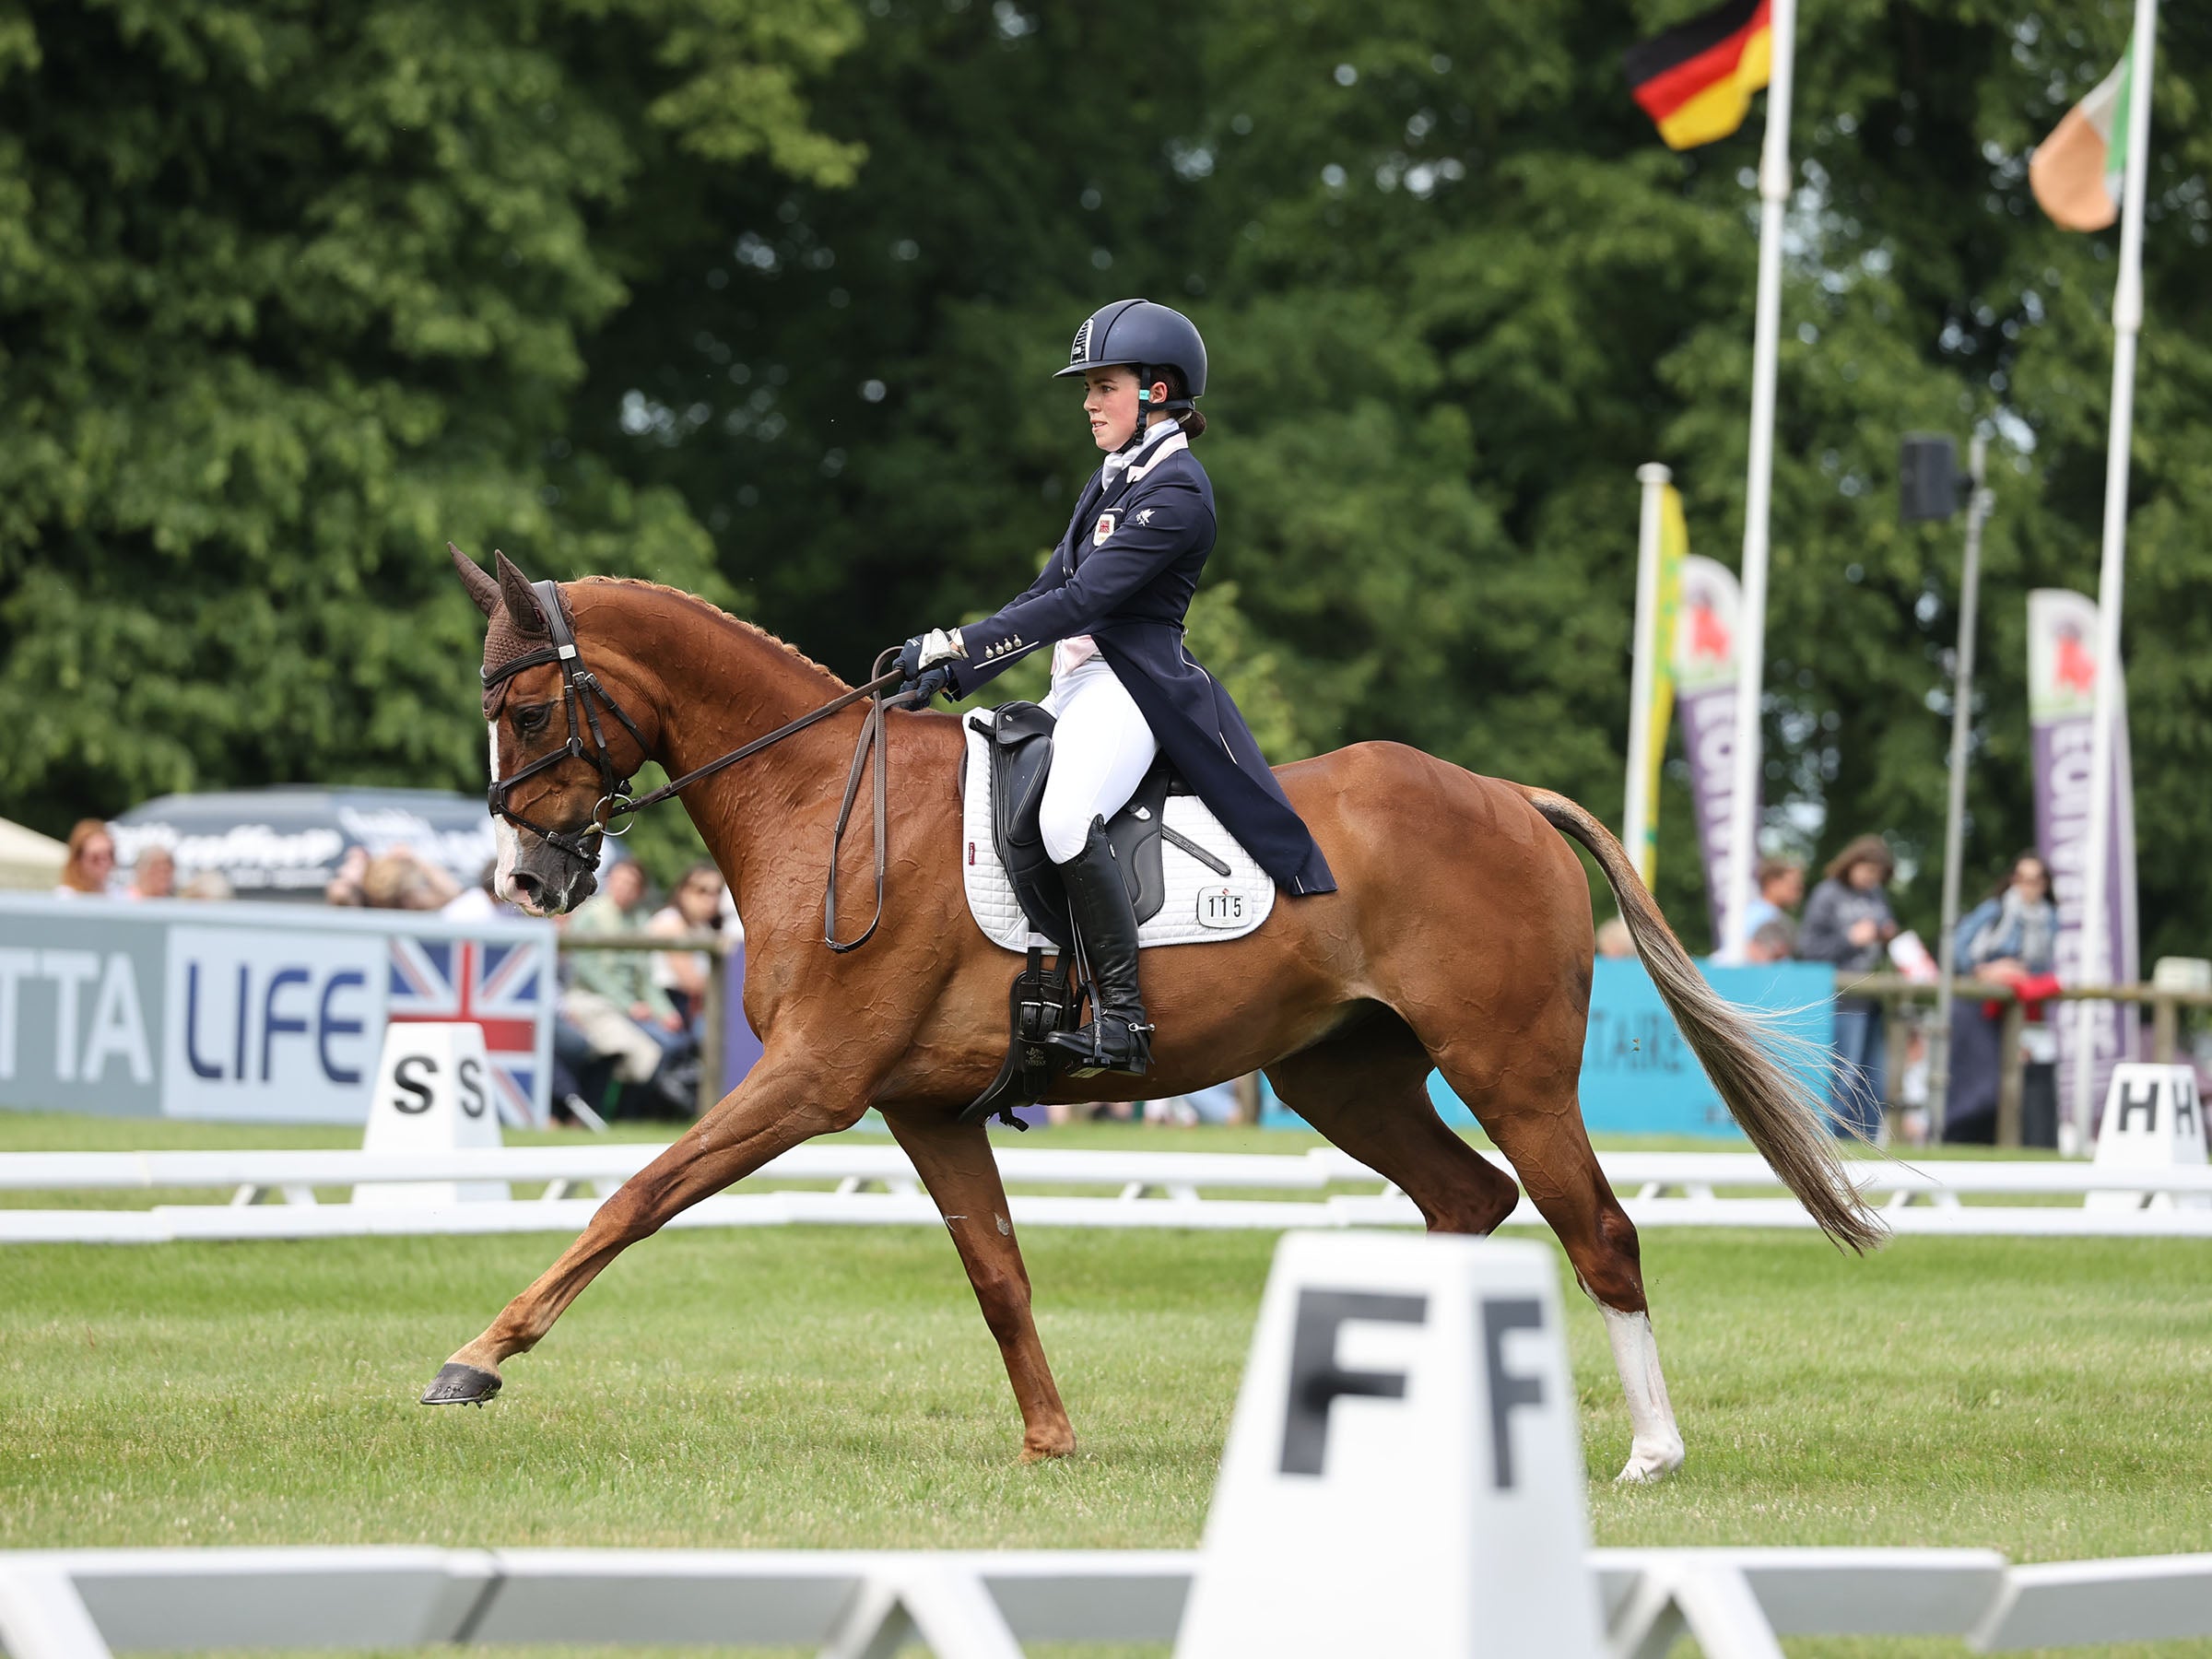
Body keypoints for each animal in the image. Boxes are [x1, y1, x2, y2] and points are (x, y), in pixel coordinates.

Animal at [435, 553, 1884, 1486]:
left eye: (529, 708)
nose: (524, 881)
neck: (818, 802)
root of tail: (1506, 796)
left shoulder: (812, 1079)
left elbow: (635, 1197)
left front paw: (477, 1360)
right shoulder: (919, 1106)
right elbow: (999, 1274)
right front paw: (1051, 1444)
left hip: (1509, 1067)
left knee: (1598, 1231)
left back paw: (1651, 1453)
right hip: (1342, 1079)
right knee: (1468, 1202)